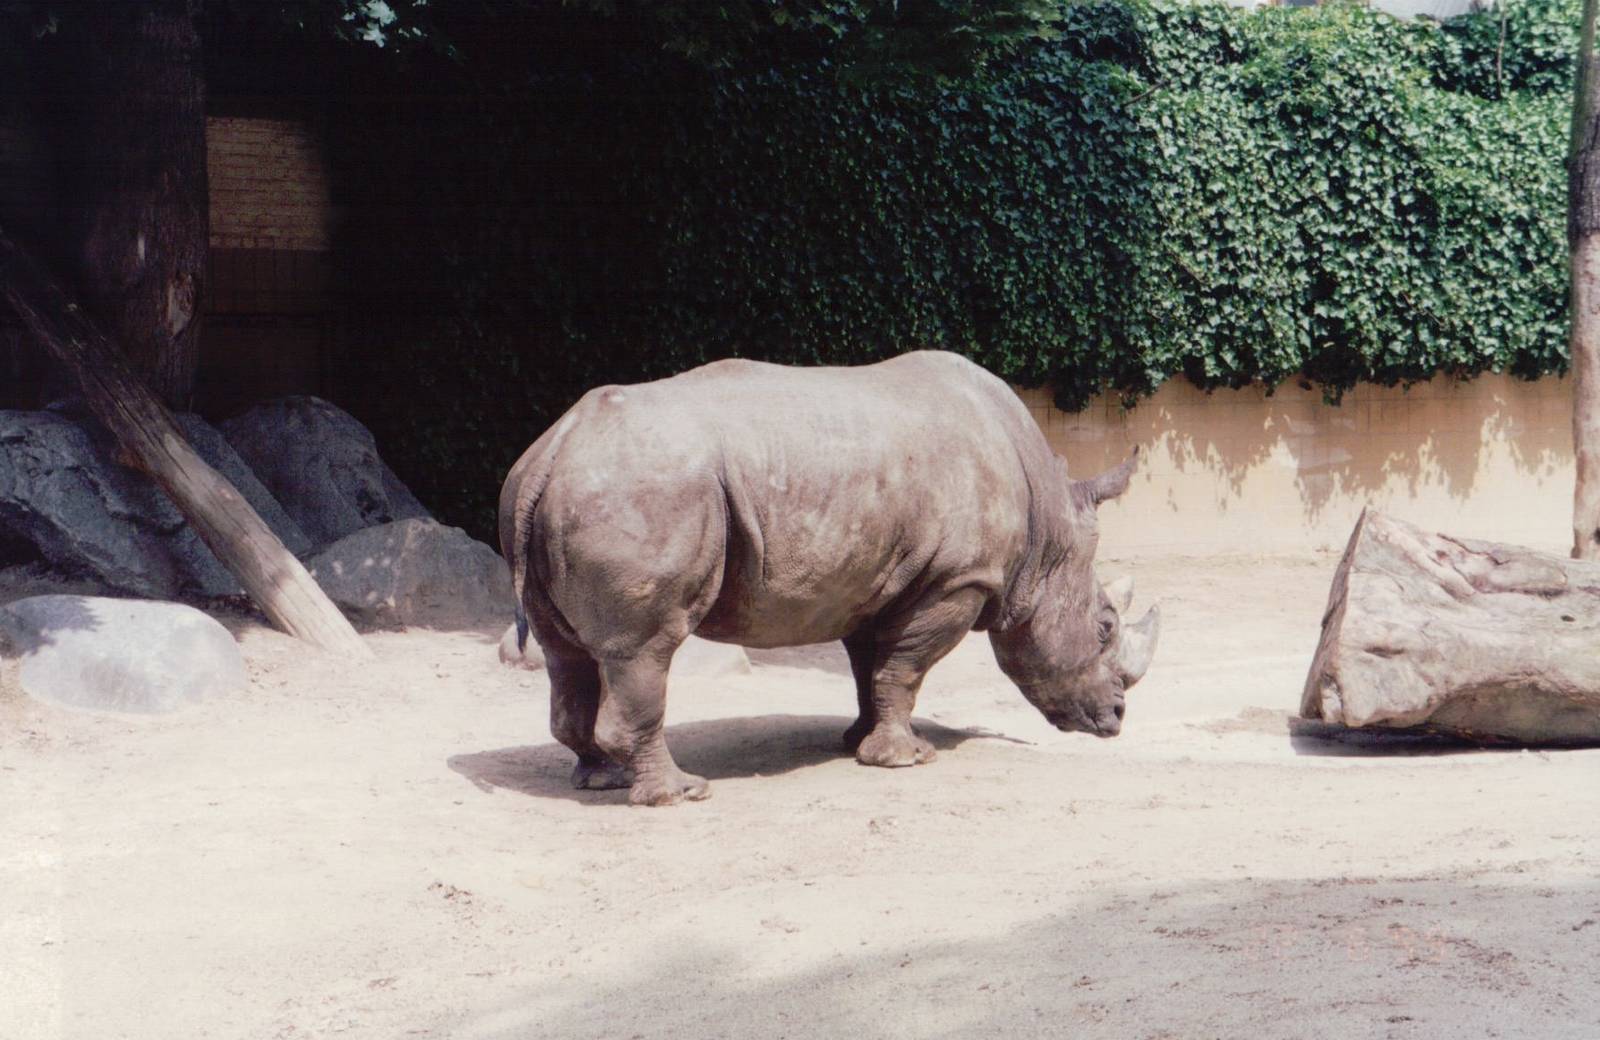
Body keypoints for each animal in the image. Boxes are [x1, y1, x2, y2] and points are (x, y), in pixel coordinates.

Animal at [498, 351, 1159, 806]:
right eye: (1104, 627)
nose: (1117, 719)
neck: (1046, 535)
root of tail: (553, 449)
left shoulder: (873, 581)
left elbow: (873, 670)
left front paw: (857, 740)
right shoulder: (957, 581)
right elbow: (905, 668)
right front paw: (907, 759)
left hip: (552, 497)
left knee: (565, 653)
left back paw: (601, 780)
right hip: (643, 492)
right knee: (645, 647)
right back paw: (681, 793)